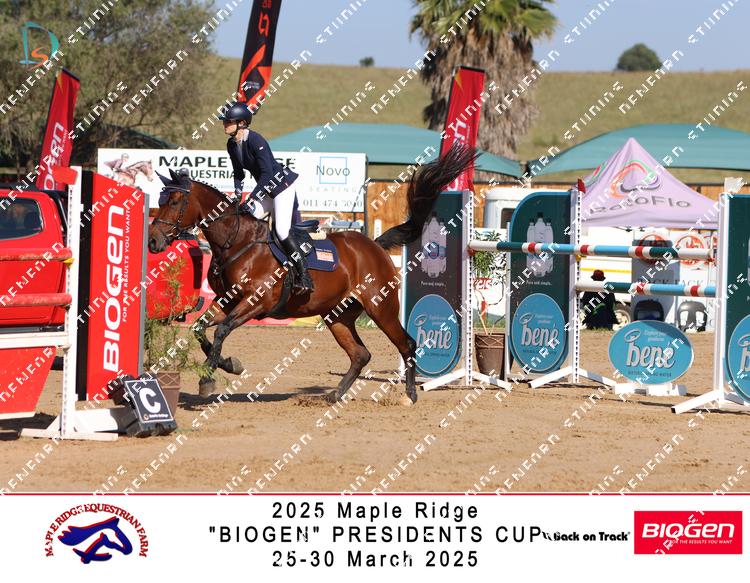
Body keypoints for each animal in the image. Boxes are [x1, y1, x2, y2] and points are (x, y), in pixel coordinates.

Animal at [147, 145, 477, 405]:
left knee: (406, 344)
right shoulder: (228, 300)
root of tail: (374, 245)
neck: (237, 241)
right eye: (159, 201)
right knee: (360, 354)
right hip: (337, 315)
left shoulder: (256, 302)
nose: (152, 241)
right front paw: (229, 365)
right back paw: (334, 395)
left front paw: (209, 378)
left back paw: (409, 395)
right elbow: (201, 328)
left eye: (173, 202)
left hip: (380, 307)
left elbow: (221, 331)